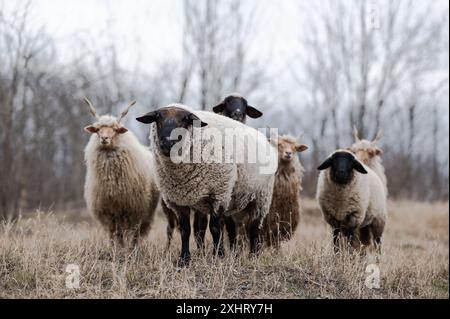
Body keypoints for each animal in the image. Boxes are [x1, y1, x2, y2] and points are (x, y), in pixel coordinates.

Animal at [84, 98, 160, 248]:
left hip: (145, 212)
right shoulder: (109, 212)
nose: (104, 139)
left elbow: (131, 232)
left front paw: (128, 249)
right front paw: (116, 248)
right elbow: (114, 233)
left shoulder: (133, 209)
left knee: (137, 232)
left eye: (115, 130)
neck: (112, 183)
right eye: (97, 130)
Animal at [136, 104, 278, 266]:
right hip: (233, 199)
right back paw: (235, 254)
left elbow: (215, 228)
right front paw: (184, 260)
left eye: (185, 120)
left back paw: (254, 255)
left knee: (254, 227)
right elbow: (185, 230)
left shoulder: (219, 194)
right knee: (231, 228)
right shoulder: (178, 201)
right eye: (158, 118)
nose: (168, 143)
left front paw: (218, 257)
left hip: (261, 197)